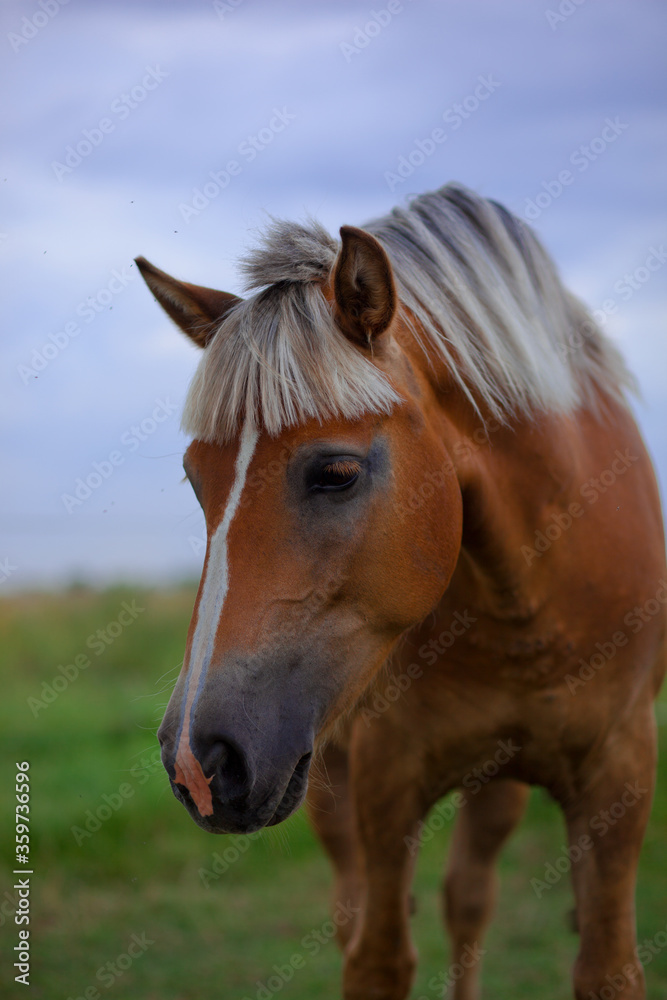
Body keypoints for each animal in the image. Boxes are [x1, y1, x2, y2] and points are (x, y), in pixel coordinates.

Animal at [135, 182, 665, 1000]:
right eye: (198, 481)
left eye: (337, 473)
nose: (200, 761)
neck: (532, 606)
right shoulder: (386, 783)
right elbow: (378, 958)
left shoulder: (621, 773)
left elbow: (604, 967)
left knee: (468, 898)